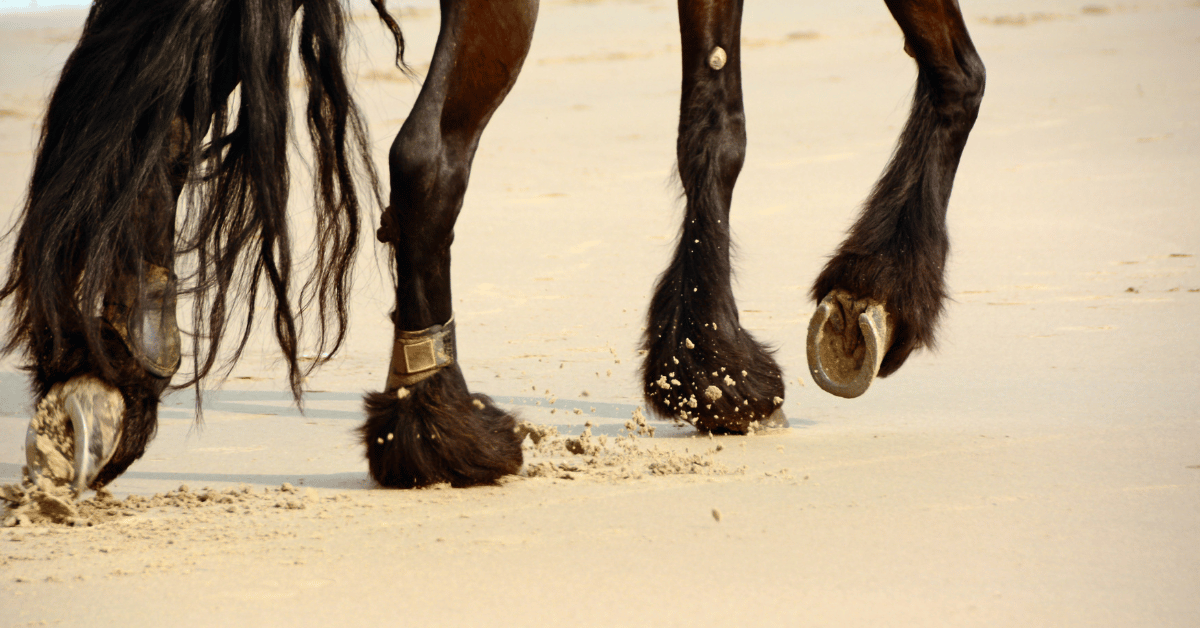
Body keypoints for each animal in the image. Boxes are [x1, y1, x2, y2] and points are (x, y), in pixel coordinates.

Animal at [1, 0, 984, 492]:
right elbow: (960, 69)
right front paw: (870, 299)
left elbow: (713, 122)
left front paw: (706, 366)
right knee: (426, 159)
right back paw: (441, 429)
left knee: (154, 115)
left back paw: (105, 373)